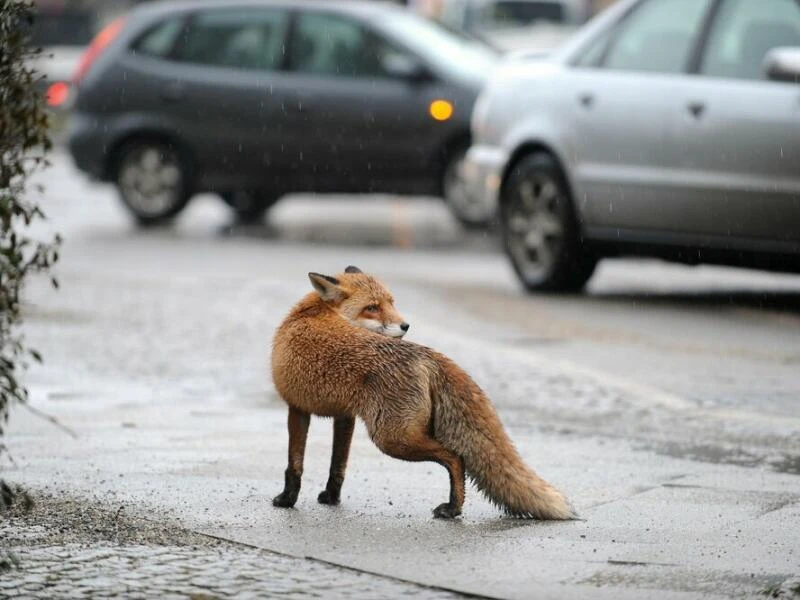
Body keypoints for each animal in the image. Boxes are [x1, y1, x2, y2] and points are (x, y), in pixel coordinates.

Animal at [270, 268, 576, 520]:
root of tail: (426, 354)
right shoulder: (345, 416)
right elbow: (338, 465)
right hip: (398, 434)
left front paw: (287, 500)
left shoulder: (296, 407)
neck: (312, 312)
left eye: (391, 303)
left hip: (392, 438)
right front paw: (331, 498)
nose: (406, 325)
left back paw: (452, 508)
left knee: (456, 457)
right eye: (372, 308)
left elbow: (294, 463)